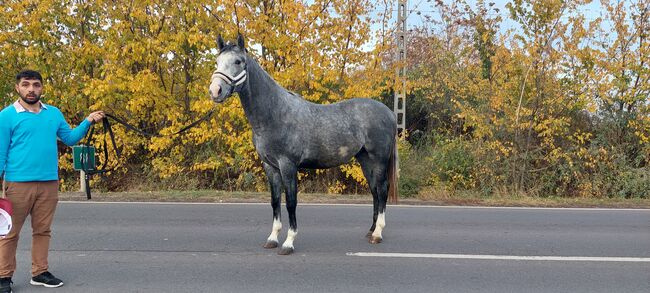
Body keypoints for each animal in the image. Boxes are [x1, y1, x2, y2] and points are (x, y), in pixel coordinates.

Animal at [210, 33, 398, 253]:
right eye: (217, 61)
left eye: (238, 61)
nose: (215, 90)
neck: (275, 113)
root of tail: (390, 113)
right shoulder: (270, 167)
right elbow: (275, 201)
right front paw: (272, 238)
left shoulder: (288, 165)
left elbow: (291, 202)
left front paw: (288, 242)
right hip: (365, 160)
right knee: (375, 191)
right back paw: (371, 230)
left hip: (379, 160)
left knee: (382, 190)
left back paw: (378, 234)